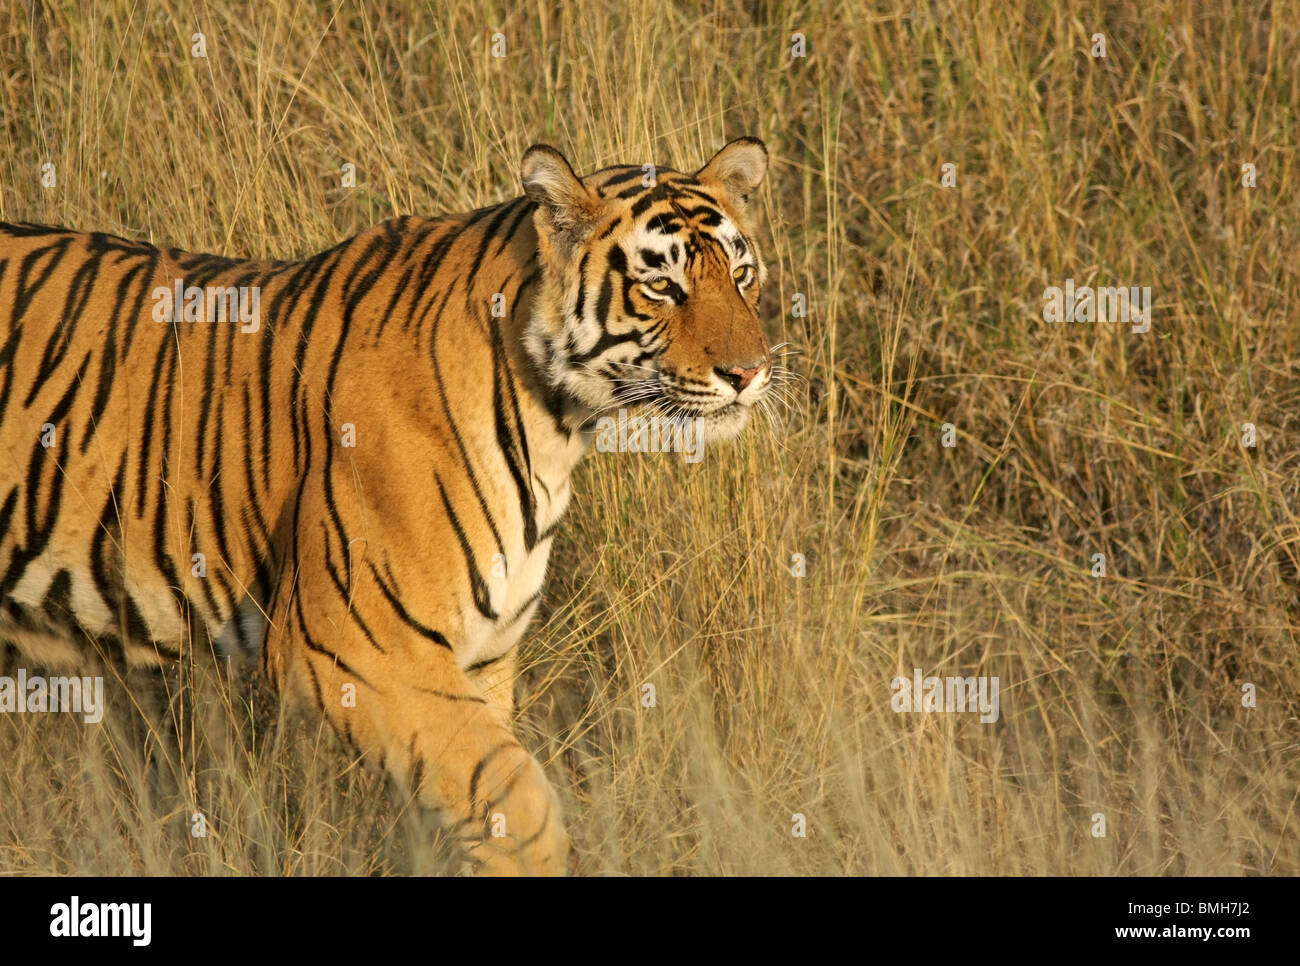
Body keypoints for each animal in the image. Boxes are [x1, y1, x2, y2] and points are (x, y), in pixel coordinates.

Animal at [0, 137, 769, 878]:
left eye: (741, 276)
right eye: (661, 286)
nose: (750, 372)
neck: (557, 425)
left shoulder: (481, 659)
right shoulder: (352, 648)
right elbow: (520, 805)